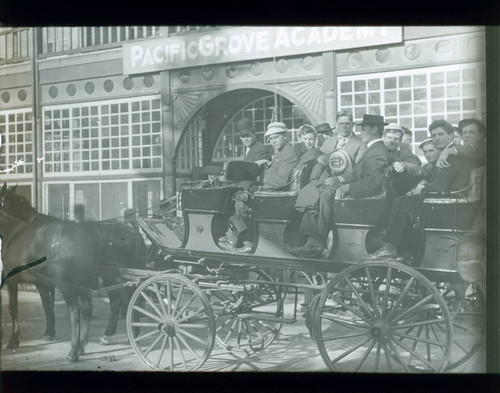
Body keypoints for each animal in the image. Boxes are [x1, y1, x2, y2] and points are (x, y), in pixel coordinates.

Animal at [0, 185, 147, 362]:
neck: (17, 231)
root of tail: (131, 230)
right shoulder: (43, 282)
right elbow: (47, 304)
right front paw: (50, 331)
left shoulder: (14, 280)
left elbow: (14, 308)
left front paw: (14, 339)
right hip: (101, 277)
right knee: (106, 303)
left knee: (80, 309)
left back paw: (76, 349)